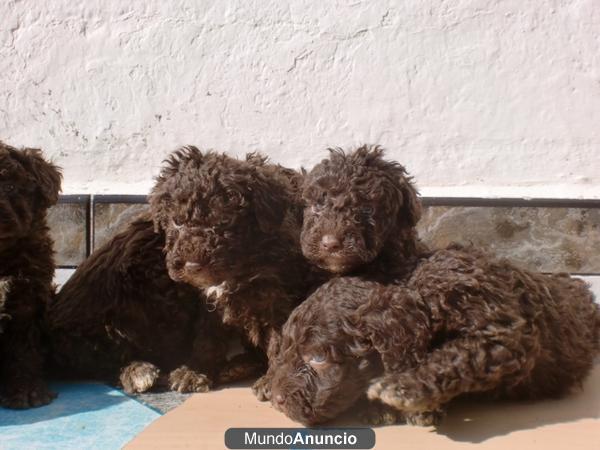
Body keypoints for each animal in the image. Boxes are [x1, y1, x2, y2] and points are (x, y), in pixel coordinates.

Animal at [148, 147, 322, 398]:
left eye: (224, 222)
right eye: (177, 222)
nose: (192, 266)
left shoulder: (278, 301)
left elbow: (279, 342)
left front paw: (272, 382)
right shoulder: (211, 301)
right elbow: (207, 337)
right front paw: (195, 371)